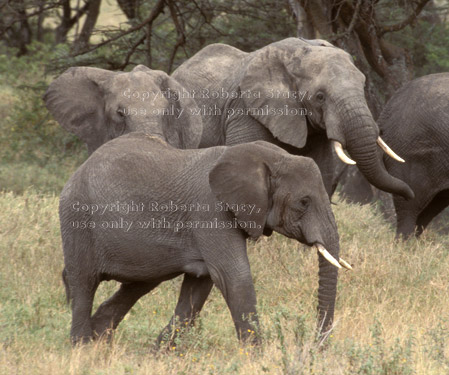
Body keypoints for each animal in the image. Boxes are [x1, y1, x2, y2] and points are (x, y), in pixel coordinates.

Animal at [59, 133, 348, 346]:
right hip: (77, 219)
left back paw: (99, 339)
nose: (316, 346)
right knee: (84, 283)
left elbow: (200, 283)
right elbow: (233, 276)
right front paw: (258, 356)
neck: (265, 156)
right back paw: (82, 347)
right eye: (304, 202)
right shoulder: (210, 210)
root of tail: (77, 172)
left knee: (138, 284)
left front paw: (162, 351)